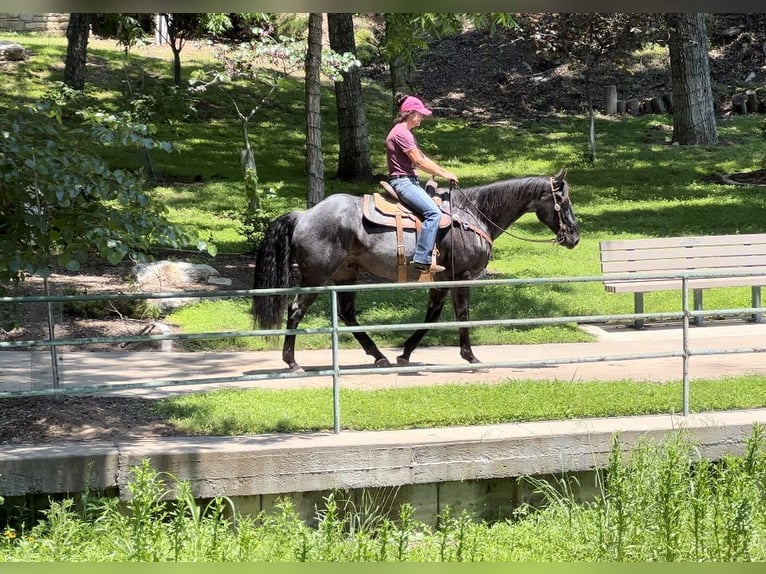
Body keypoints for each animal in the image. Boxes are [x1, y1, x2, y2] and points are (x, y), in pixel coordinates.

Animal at [252, 168, 584, 374]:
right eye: (563, 201)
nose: (575, 237)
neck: (473, 214)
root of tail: (304, 214)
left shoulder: (441, 280)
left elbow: (431, 317)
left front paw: (405, 353)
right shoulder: (462, 277)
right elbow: (462, 316)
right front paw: (471, 357)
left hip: (347, 273)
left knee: (346, 314)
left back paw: (380, 356)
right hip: (317, 277)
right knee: (296, 310)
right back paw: (292, 362)